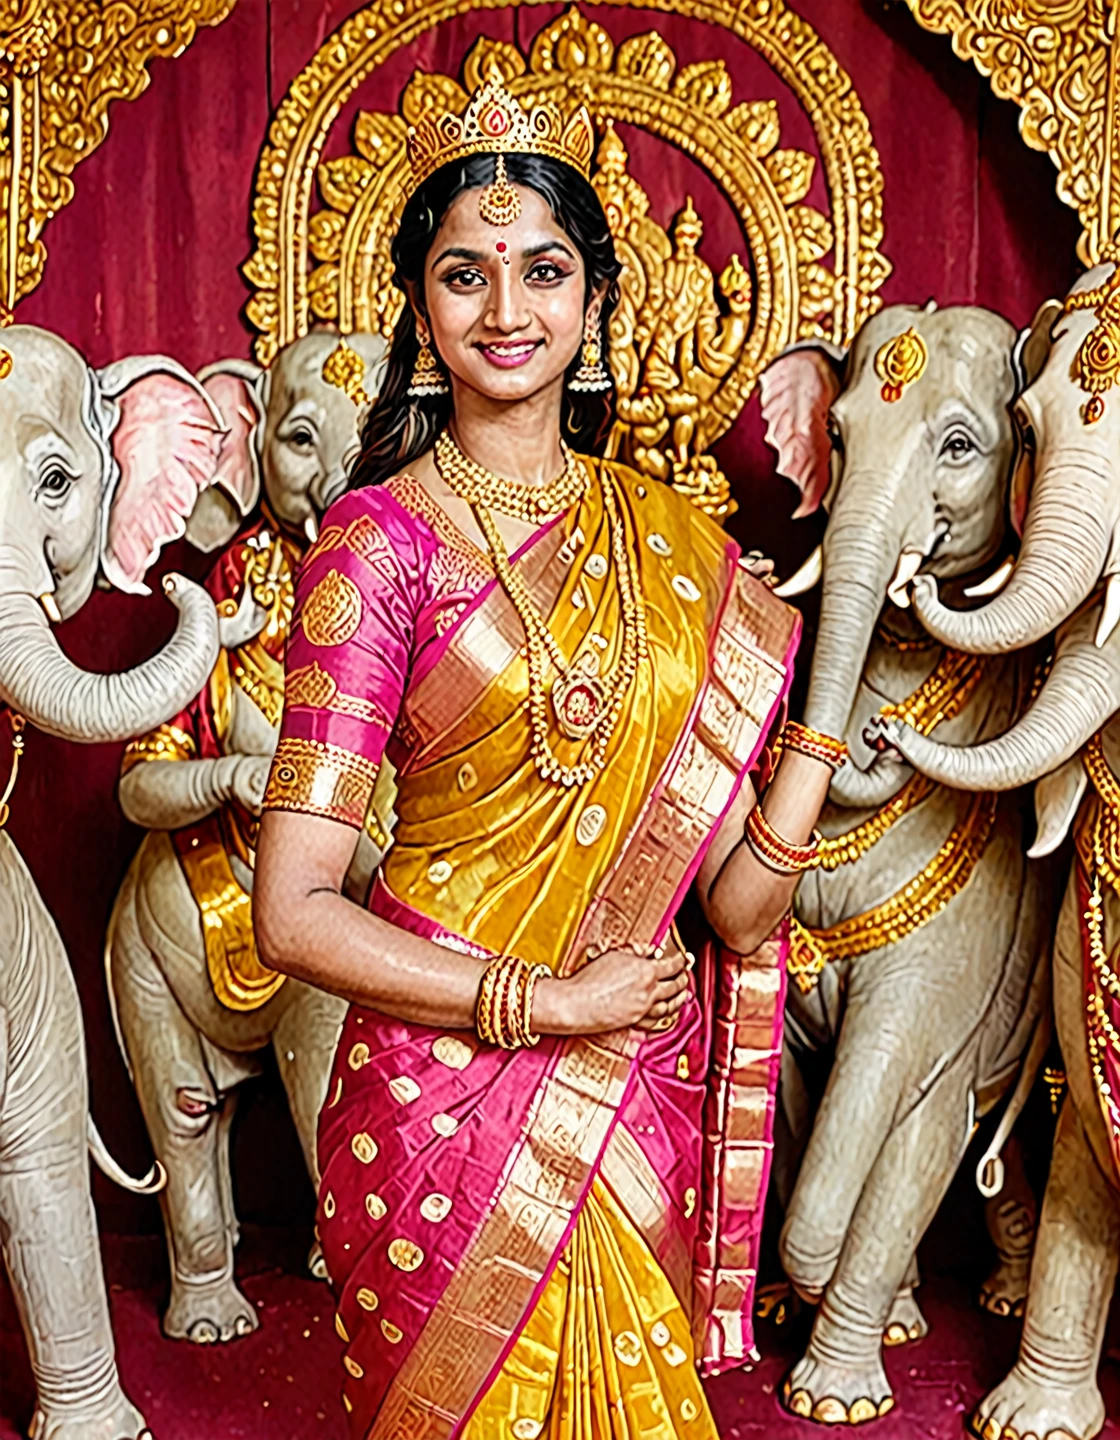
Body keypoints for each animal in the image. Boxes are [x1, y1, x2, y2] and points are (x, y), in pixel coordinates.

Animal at [105, 331, 391, 1342]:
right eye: (299, 437)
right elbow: (139, 781)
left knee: (250, 1103)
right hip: (137, 957)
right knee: (188, 1108)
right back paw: (213, 1316)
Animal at [754, 298, 1053, 1422]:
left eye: (961, 446)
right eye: (836, 438)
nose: (880, 738)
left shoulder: (955, 972)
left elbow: (902, 1116)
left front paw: (834, 1399)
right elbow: (808, 1106)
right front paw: (831, 1321)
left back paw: (990, 1303)